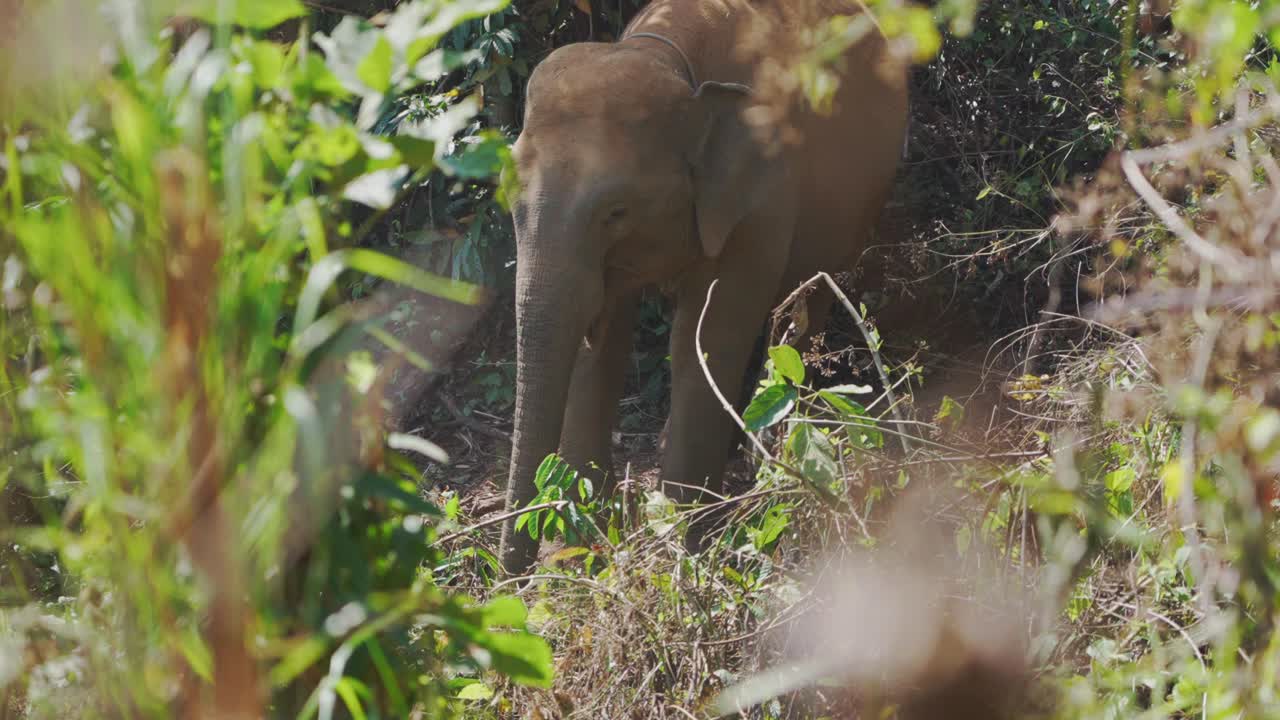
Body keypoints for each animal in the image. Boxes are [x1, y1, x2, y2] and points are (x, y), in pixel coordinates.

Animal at [497, 0, 910, 574]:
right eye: (508, 200)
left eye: (616, 212)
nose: (507, 579)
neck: (666, 61)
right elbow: (599, 346)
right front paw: (578, 554)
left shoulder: (760, 199)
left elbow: (704, 340)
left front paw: (685, 554)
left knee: (810, 302)